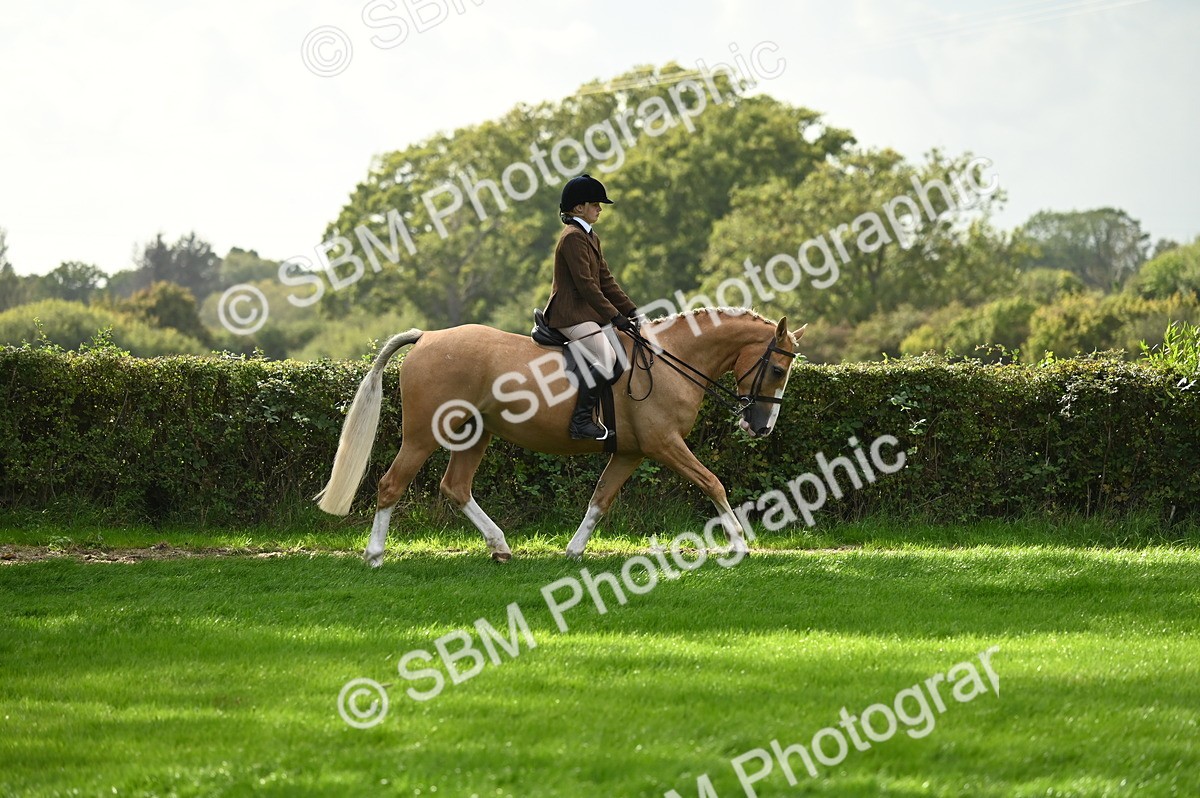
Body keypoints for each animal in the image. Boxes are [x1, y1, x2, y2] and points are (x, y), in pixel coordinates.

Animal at [315, 308, 804, 566]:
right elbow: (712, 482)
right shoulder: (665, 445)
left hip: (475, 435)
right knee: (390, 484)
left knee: (456, 487)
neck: (672, 360)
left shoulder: (630, 453)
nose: (761, 427)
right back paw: (375, 555)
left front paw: (573, 550)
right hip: (421, 438)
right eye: (778, 370)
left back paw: (500, 547)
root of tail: (427, 337)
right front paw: (739, 543)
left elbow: (600, 500)